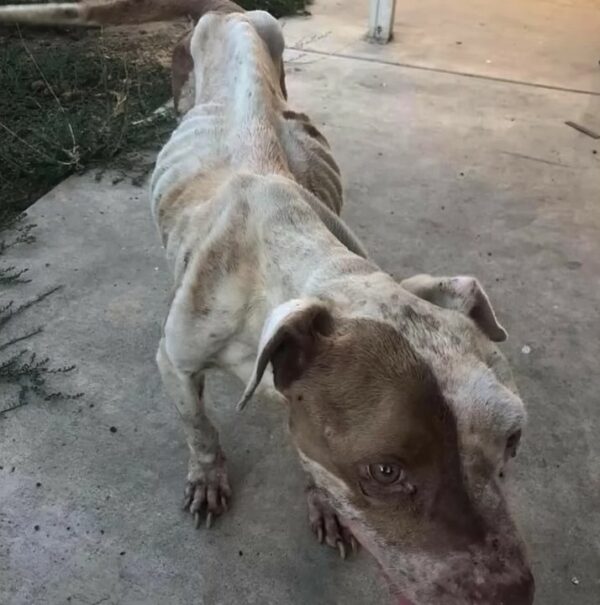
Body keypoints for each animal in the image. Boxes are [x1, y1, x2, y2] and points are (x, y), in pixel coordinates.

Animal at [0, 2, 536, 600]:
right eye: (385, 471)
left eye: (512, 439)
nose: (514, 594)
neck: (283, 262)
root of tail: (227, 11)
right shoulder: (174, 362)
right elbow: (200, 427)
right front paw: (207, 478)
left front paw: (323, 505)